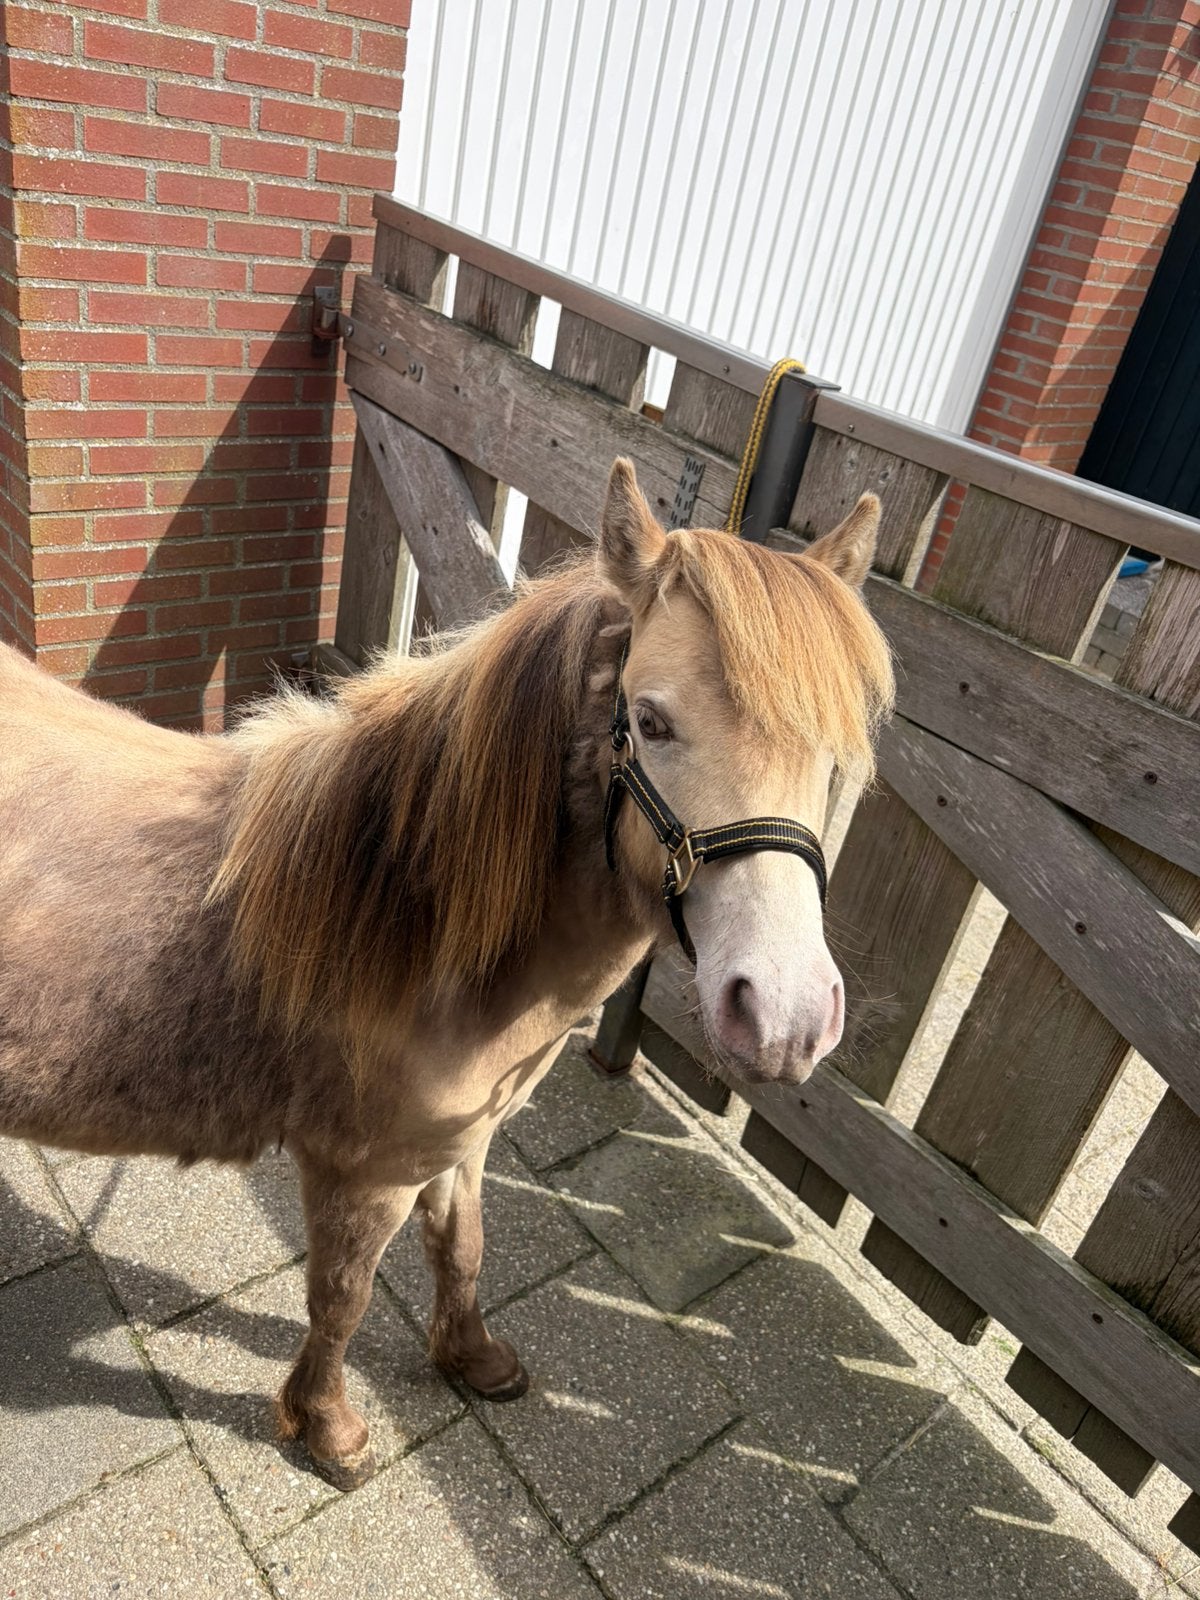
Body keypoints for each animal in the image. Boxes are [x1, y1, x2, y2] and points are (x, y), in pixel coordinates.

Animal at [0, 458, 893, 1489]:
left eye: (838, 756)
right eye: (651, 720)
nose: (786, 1019)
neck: (409, 918)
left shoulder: (461, 1142)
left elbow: (462, 1247)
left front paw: (472, 1358)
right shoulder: (363, 1172)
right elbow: (340, 1300)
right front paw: (329, 1429)